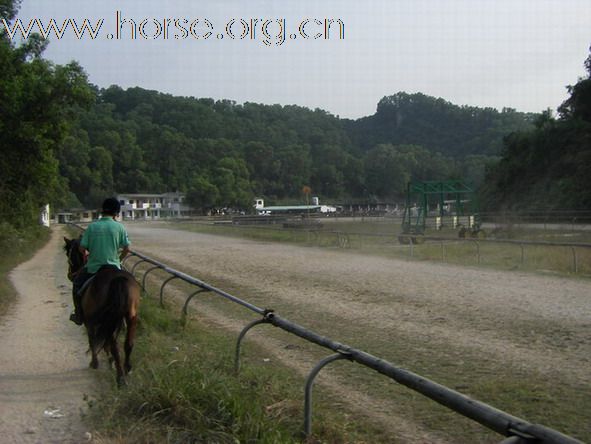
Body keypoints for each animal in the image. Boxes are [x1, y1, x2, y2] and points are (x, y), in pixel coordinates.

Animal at [64, 236, 141, 386]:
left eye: (68, 254)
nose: (70, 275)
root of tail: (118, 279)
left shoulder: (90, 322)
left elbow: (92, 340)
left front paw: (94, 362)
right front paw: (109, 360)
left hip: (105, 318)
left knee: (113, 345)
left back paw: (120, 378)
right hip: (130, 317)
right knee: (127, 343)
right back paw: (127, 368)